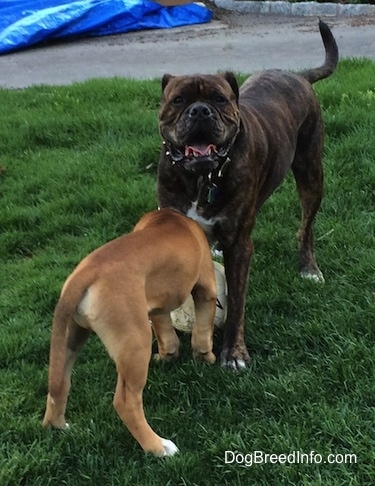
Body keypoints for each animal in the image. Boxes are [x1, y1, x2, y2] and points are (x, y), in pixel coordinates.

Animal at [42, 209, 217, 456]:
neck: (170, 218)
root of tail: (85, 273)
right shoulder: (206, 289)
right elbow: (203, 331)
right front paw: (206, 358)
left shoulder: (156, 307)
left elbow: (165, 333)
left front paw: (168, 356)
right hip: (136, 344)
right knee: (126, 402)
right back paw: (158, 446)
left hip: (70, 338)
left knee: (58, 386)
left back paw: (58, 426)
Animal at [157, 19, 340, 368]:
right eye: (178, 100)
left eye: (219, 99)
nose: (199, 110)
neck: (203, 177)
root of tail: (298, 75)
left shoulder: (241, 247)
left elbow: (237, 304)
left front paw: (234, 354)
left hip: (311, 174)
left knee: (306, 226)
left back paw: (309, 268)